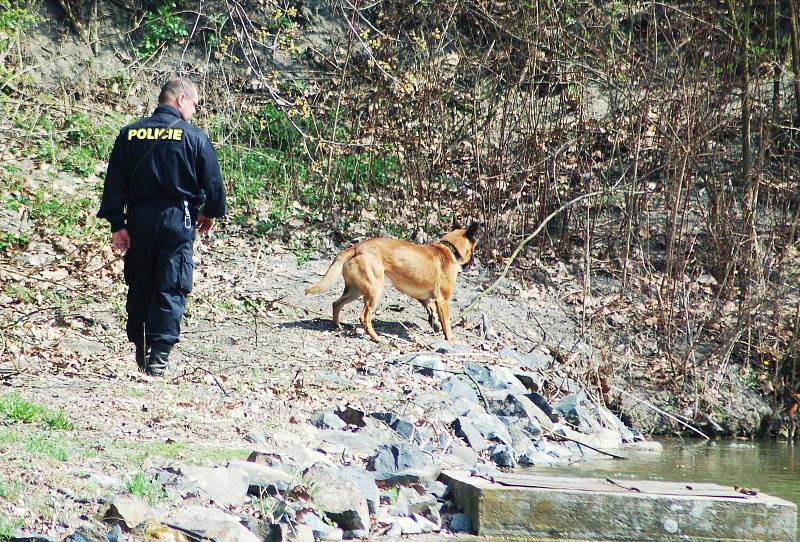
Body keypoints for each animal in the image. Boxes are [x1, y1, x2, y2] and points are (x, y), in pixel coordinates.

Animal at [304, 224, 482, 344]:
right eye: (475, 247)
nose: (476, 263)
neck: (449, 249)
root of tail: (356, 248)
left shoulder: (424, 298)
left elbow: (431, 309)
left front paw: (435, 324)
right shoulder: (443, 300)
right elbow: (447, 323)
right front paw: (449, 337)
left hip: (355, 291)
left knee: (336, 304)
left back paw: (338, 326)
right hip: (374, 292)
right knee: (364, 318)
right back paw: (376, 338)